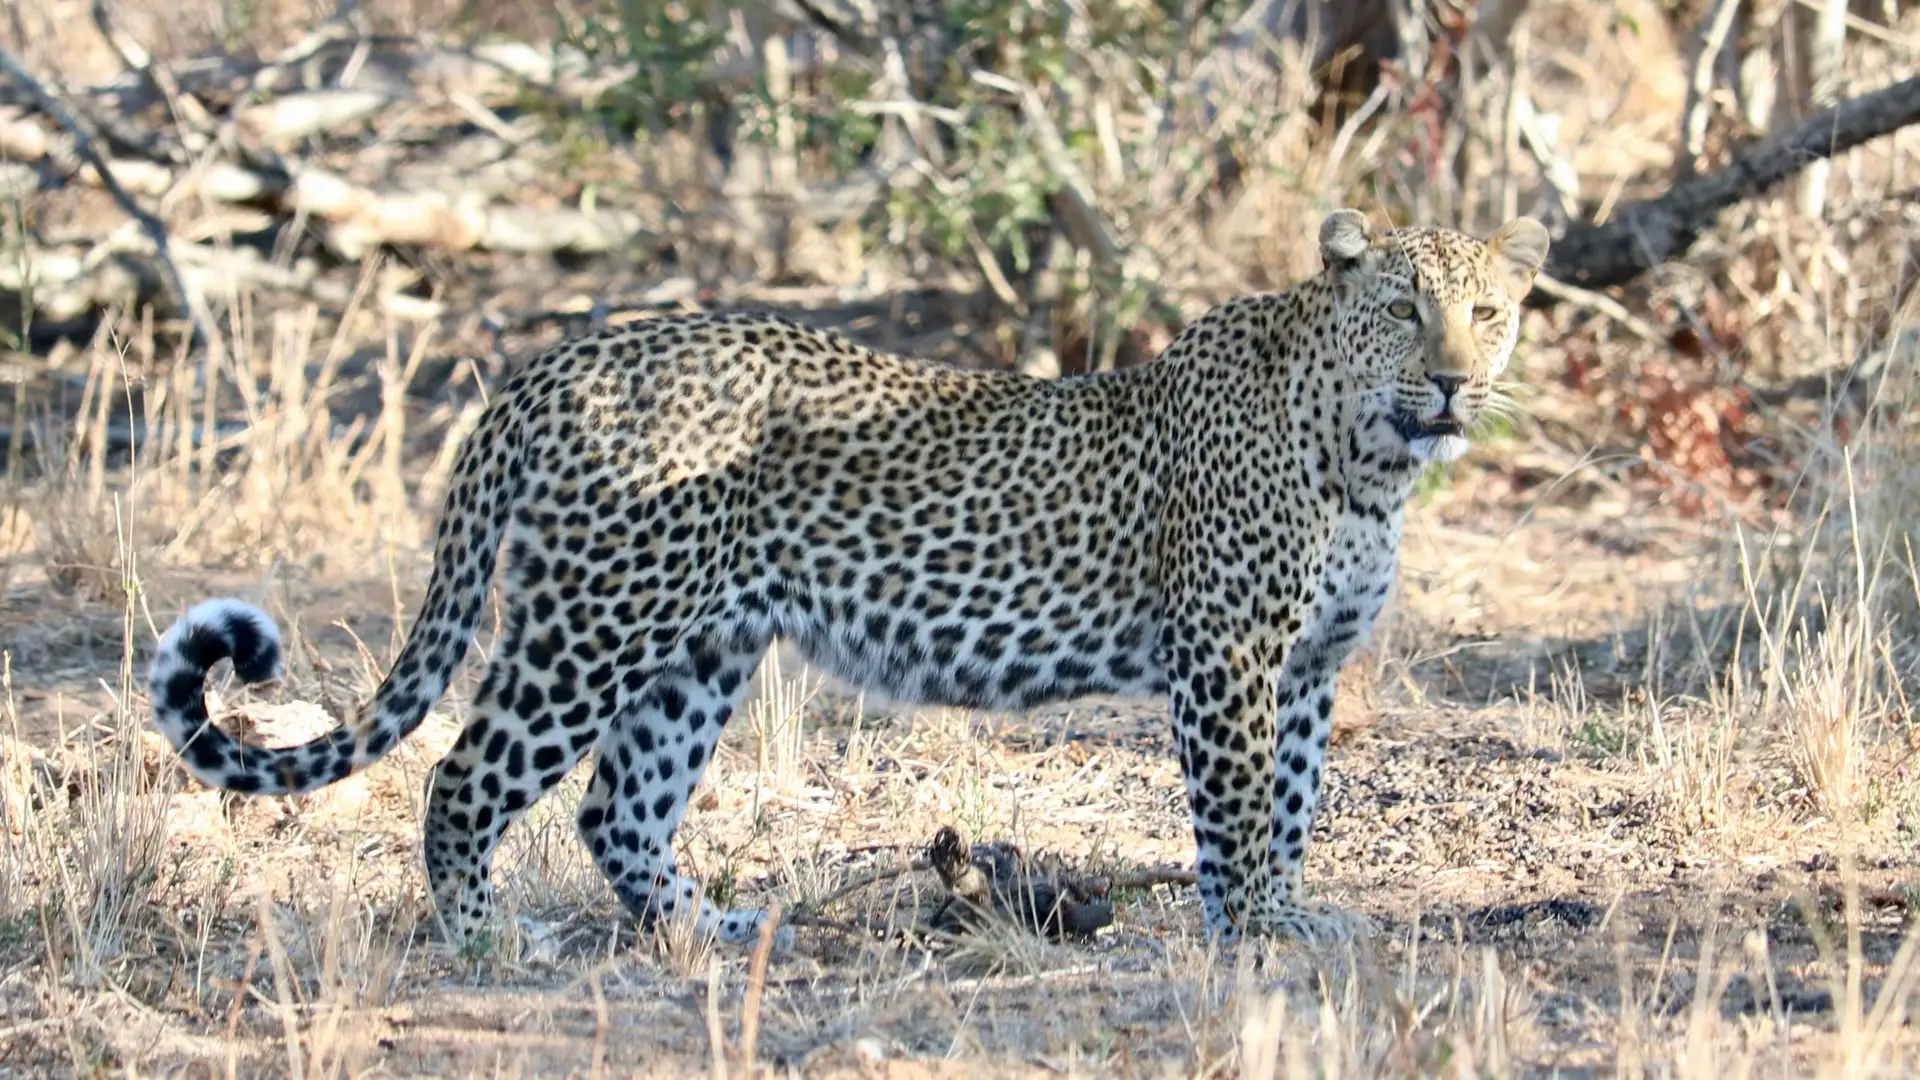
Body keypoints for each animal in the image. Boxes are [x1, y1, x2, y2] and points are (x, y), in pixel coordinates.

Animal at [153, 208, 1559, 941]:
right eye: (1402, 310)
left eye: (1489, 311)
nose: (1450, 380)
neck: (1371, 460)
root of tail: (551, 366)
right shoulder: (1231, 657)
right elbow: (1241, 806)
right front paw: (1258, 931)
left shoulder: (1309, 666)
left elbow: (1295, 801)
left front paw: (1285, 918)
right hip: (594, 625)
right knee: (466, 778)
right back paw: (484, 941)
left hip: (700, 648)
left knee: (621, 809)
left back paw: (720, 936)